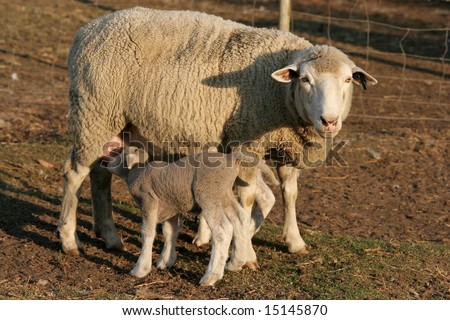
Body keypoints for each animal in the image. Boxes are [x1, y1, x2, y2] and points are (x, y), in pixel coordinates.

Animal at [104, 146, 255, 286]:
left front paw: (140, 269)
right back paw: (236, 262)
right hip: (224, 195)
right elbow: (170, 232)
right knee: (240, 218)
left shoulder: (148, 201)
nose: (106, 162)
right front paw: (166, 261)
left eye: (119, 153)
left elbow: (147, 233)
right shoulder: (171, 206)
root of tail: (230, 158)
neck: (137, 171)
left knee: (223, 230)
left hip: (208, 193)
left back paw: (211, 276)